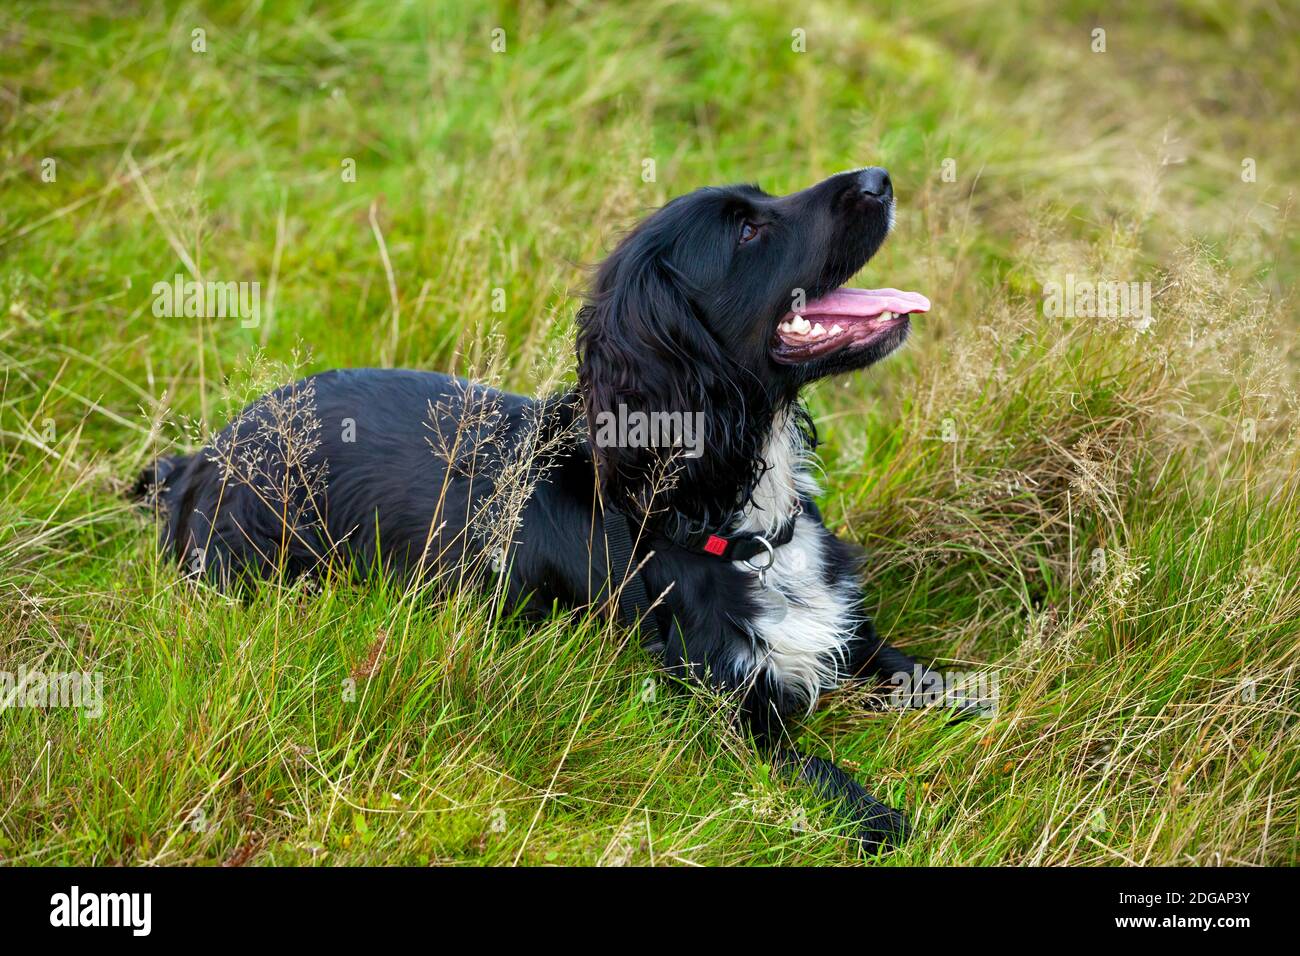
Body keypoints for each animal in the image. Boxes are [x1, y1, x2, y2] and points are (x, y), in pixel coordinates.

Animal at [139, 164, 935, 853]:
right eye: (746, 230)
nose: (880, 178)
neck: (712, 511)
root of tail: (203, 460)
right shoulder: (720, 709)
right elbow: (820, 775)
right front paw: (887, 819)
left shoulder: (850, 637)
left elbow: (938, 681)